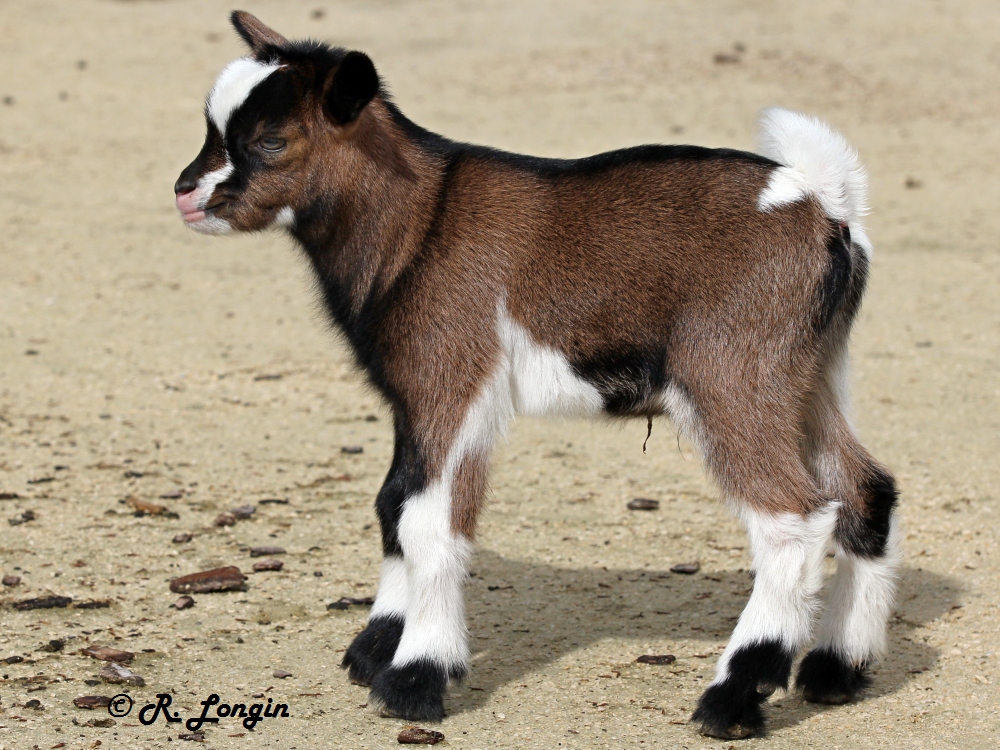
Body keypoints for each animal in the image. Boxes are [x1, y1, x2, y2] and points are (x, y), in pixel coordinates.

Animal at [176, 11, 904, 740]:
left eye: (271, 140)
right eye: (213, 126)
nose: (186, 192)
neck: (419, 221)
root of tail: (826, 205)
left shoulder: (455, 377)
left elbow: (429, 520)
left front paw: (415, 676)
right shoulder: (412, 396)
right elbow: (393, 504)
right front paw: (377, 645)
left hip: (730, 376)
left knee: (794, 519)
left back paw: (732, 697)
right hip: (808, 376)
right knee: (865, 490)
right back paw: (836, 668)